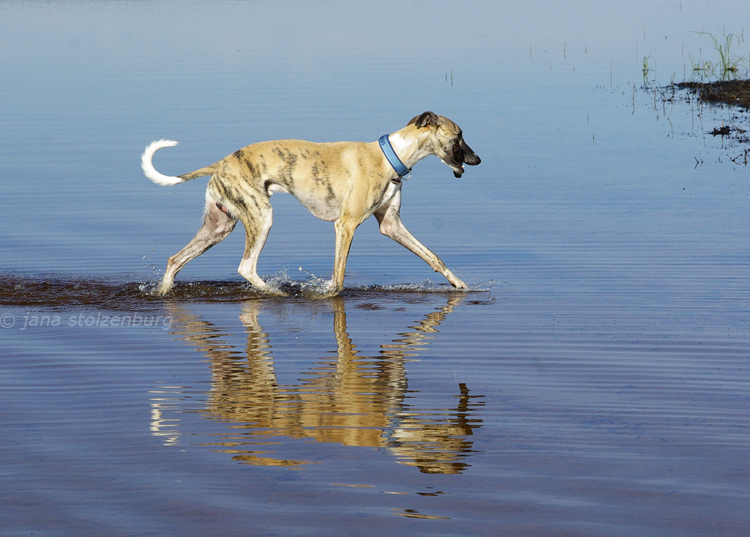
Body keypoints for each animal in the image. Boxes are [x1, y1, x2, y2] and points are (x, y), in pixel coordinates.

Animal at [141, 111, 482, 296]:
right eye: (459, 135)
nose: (477, 159)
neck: (391, 156)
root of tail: (219, 163)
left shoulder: (391, 225)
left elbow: (433, 257)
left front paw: (461, 285)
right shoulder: (345, 225)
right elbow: (339, 278)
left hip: (218, 226)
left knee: (175, 260)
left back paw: (164, 291)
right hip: (260, 217)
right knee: (246, 267)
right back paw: (276, 292)